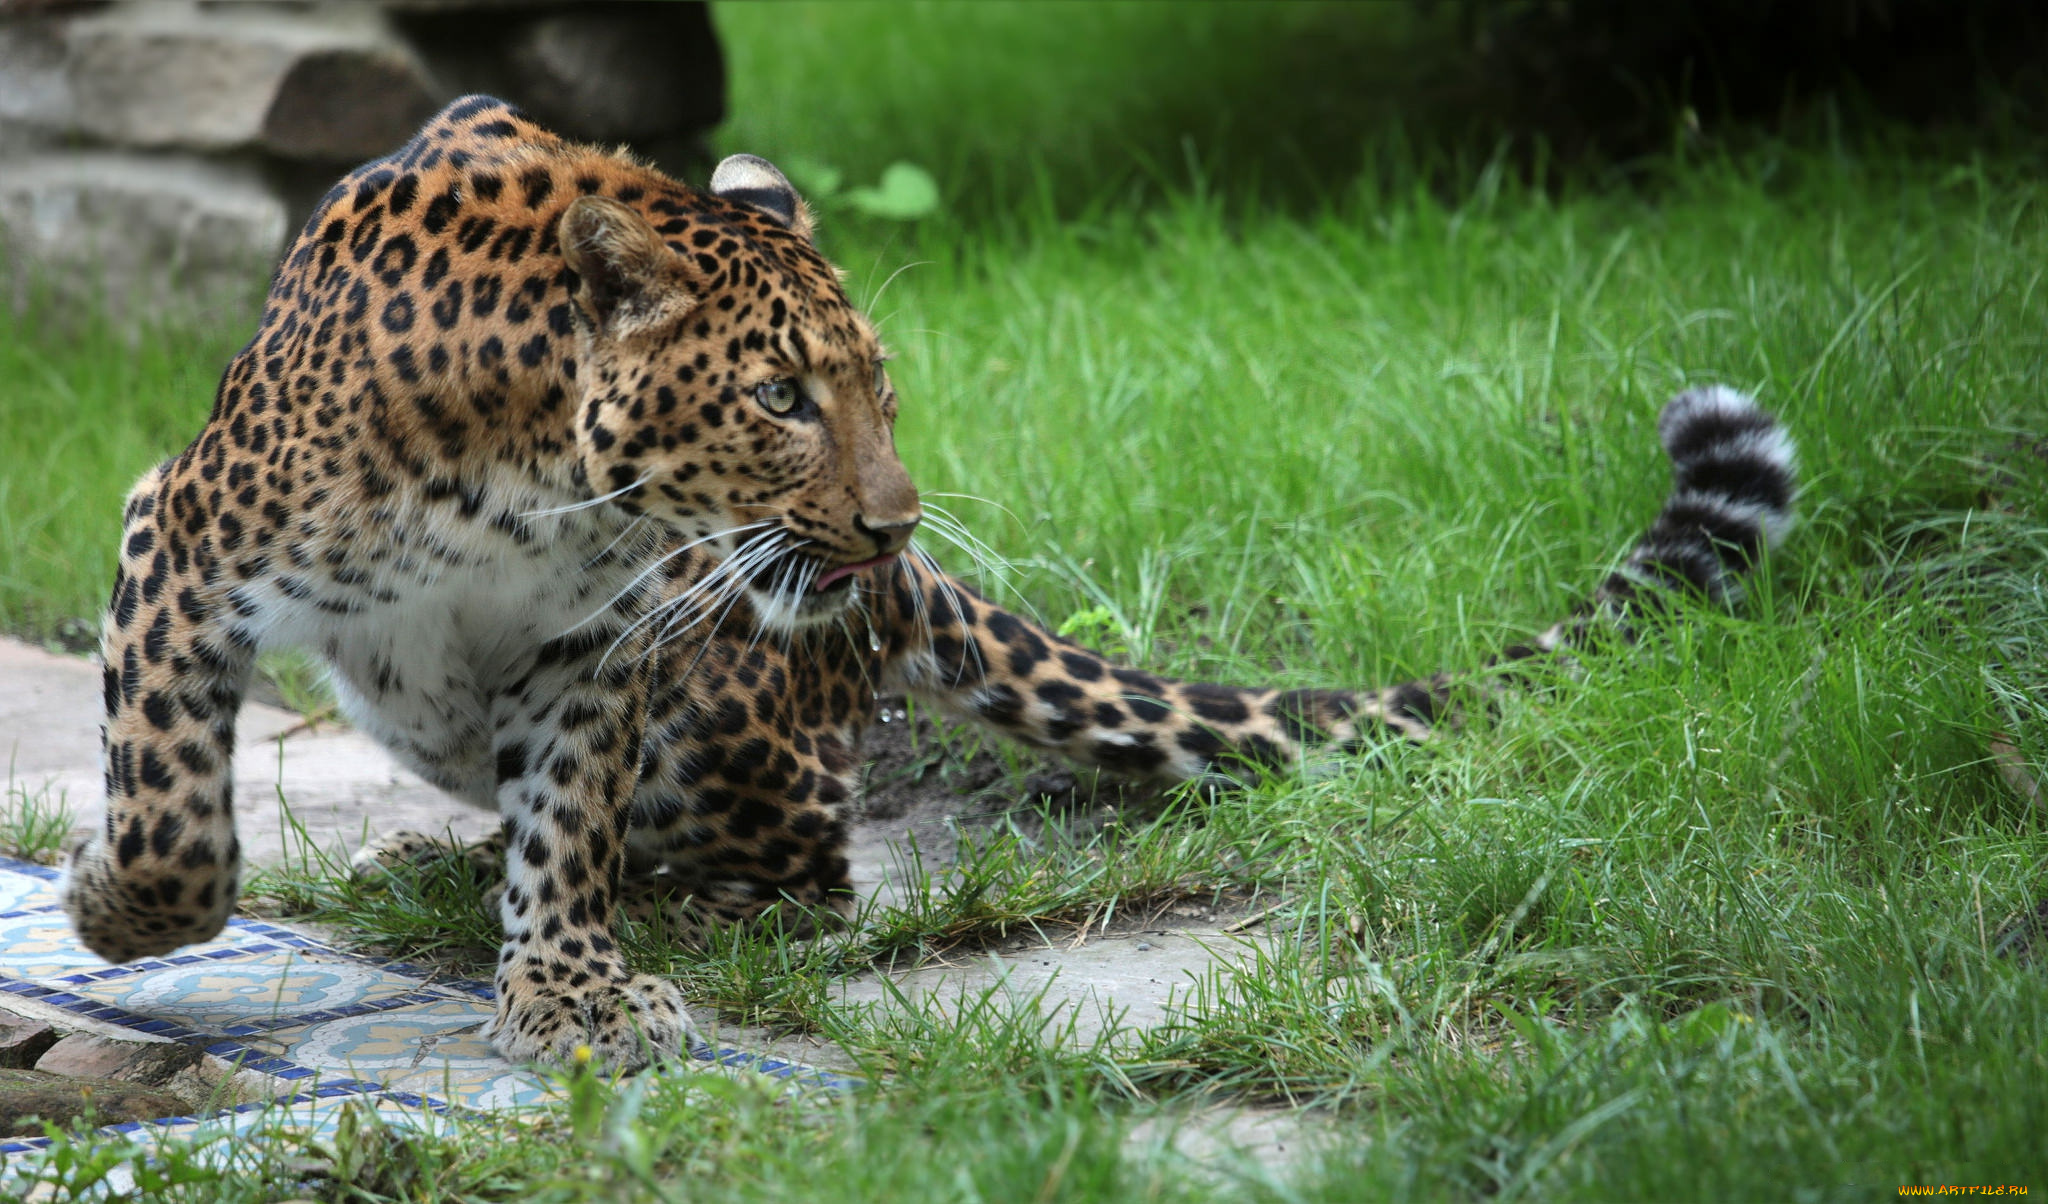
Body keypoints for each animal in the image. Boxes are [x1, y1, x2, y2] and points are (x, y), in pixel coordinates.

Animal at [63, 95, 1797, 1071]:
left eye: (879, 386)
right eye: (778, 399)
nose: (893, 524)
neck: (533, 489)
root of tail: (911, 598)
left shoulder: (600, 648)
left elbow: (568, 834)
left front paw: (571, 984)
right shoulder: (182, 533)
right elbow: (173, 811)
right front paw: (112, 905)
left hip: (727, 723)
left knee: (803, 867)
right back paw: (436, 865)